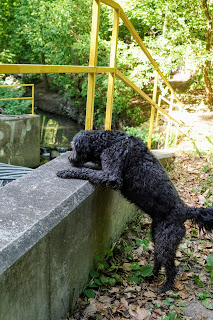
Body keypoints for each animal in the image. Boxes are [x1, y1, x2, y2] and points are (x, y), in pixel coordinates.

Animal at [57, 130, 213, 292]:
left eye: (74, 147)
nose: (69, 158)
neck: (112, 142)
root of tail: (186, 210)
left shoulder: (112, 176)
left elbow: (86, 171)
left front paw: (66, 172)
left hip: (166, 242)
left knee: (171, 268)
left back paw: (166, 287)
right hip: (157, 236)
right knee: (158, 259)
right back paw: (152, 274)